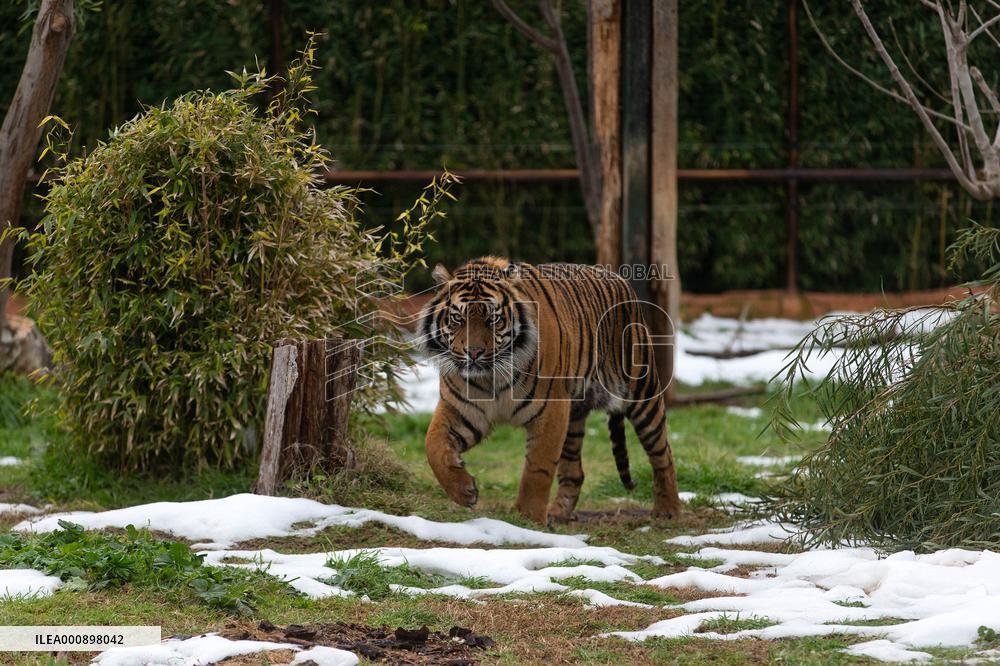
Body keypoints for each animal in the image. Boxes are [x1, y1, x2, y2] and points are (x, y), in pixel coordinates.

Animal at [416, 256, 681, 525]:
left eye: (493, 319)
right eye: (457, 319)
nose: (474, 352)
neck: (492, 377)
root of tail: (618, 278)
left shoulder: (551, 411)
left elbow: (537, 471)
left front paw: (528, 522)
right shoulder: (462, 410)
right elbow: (433, 446)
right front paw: (463, 490)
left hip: (642, 394)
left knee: (663, 454)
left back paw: (668, 510)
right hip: (573, 416)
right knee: (574, 471)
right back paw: (559, 514)